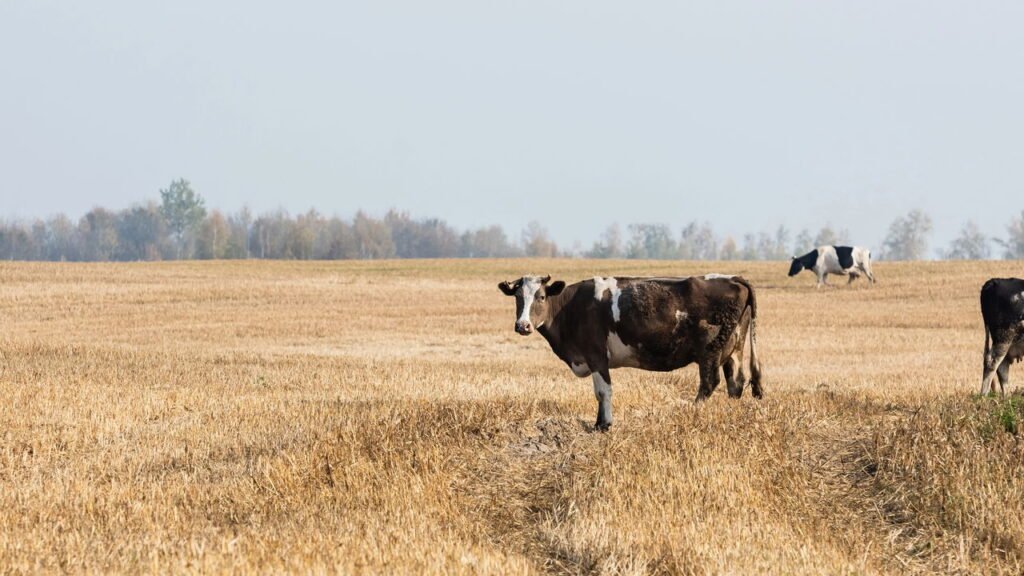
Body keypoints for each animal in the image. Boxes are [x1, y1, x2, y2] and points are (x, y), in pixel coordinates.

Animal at [498, 274, 762, 430]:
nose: (523, 325)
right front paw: (598, 423)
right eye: (518, 298)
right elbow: (599, 393)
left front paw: (604, 425)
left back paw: (692, 410)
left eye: (541, 296)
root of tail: (732, 278)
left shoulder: (596, 355)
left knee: (709, 382)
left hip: (710, 351)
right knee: (735, 382)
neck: (571, 308)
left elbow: (603, 391)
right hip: (733, 350)